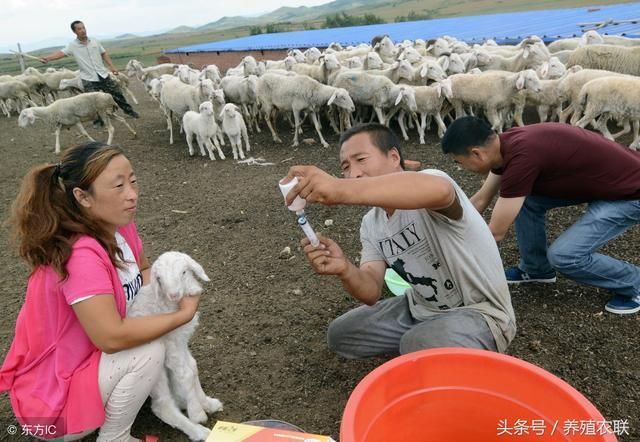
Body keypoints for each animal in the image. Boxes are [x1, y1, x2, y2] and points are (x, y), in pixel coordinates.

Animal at [127, 252, 222, 442]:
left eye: (184, 272)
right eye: (159, 278)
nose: (173, 294)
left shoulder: (180, 340)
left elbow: (193, 368)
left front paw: (206, 403)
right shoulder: (170, 344)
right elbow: (186, 374)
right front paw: (197, 412)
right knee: (162, 406)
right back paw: (200, 431)